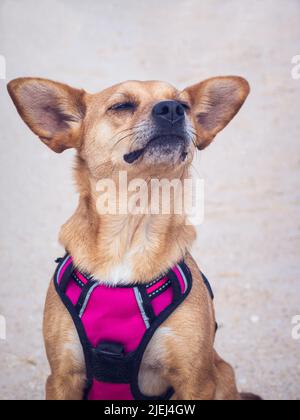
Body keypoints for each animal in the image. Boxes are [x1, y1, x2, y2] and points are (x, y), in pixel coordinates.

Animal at [7, 75, 260, 400]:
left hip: (223, 373)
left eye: (185, 105)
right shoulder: (61, 378)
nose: (173, 109)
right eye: (122, 106)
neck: (131, 231)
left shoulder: (196, 381)